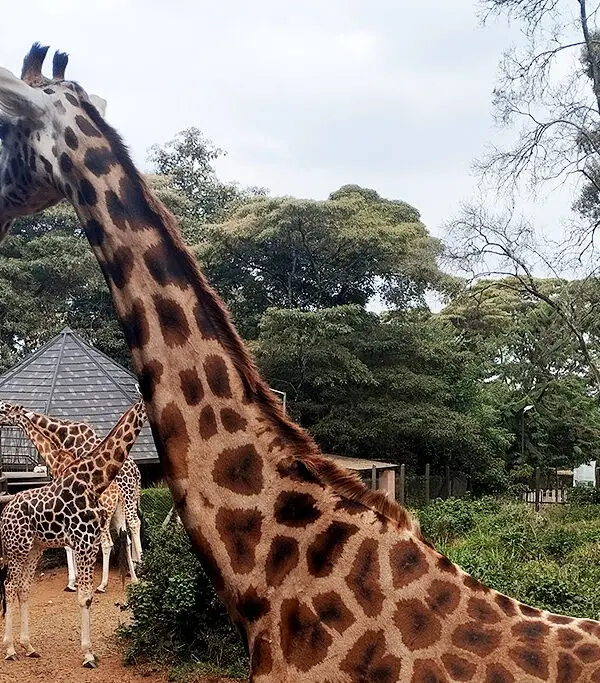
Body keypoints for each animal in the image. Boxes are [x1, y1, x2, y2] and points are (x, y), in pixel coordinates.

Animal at [0, 396, 146, 667]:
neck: (94, 480)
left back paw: (28, 647)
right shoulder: (81, 540)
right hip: (18, 548)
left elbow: (87, 595)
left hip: (34, 548)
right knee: (10, 585)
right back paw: (11, 649)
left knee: (23, 588)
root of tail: (5, 512)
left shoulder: (88, 540)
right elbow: (84, 596)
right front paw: (87, 654)